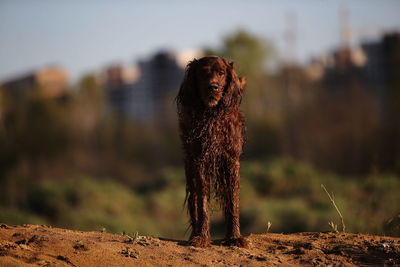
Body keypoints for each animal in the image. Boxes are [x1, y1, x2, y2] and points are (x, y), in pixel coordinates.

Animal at [177, 56, 248, 249]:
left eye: (221, 73)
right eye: (202, 72)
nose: (213, 87)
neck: (212, 117)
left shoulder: (231, 160)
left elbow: (233, 201)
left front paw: (235, 236)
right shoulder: (199, 161)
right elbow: (202, 203)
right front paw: (202, 237)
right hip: (190, 167)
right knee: (194, 200)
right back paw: (195, 232)